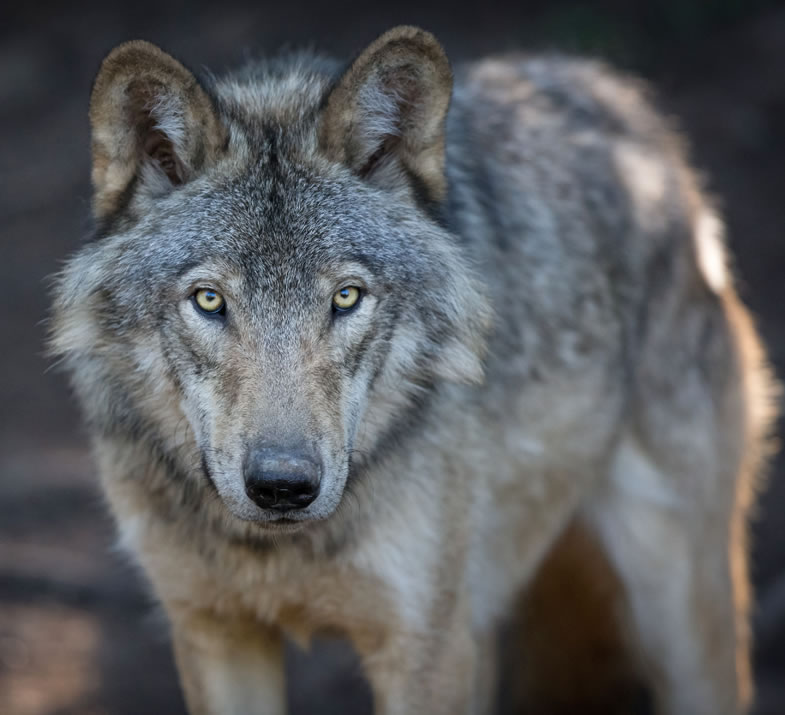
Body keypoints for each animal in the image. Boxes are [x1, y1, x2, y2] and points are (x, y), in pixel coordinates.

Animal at [50, 25, 777, 715]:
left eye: (346, 297)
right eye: (208, 300)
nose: (283, 487)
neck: (279, 552)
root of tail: (616, 97)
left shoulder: (425, 649)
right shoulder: (214, 633)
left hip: (677, 616)